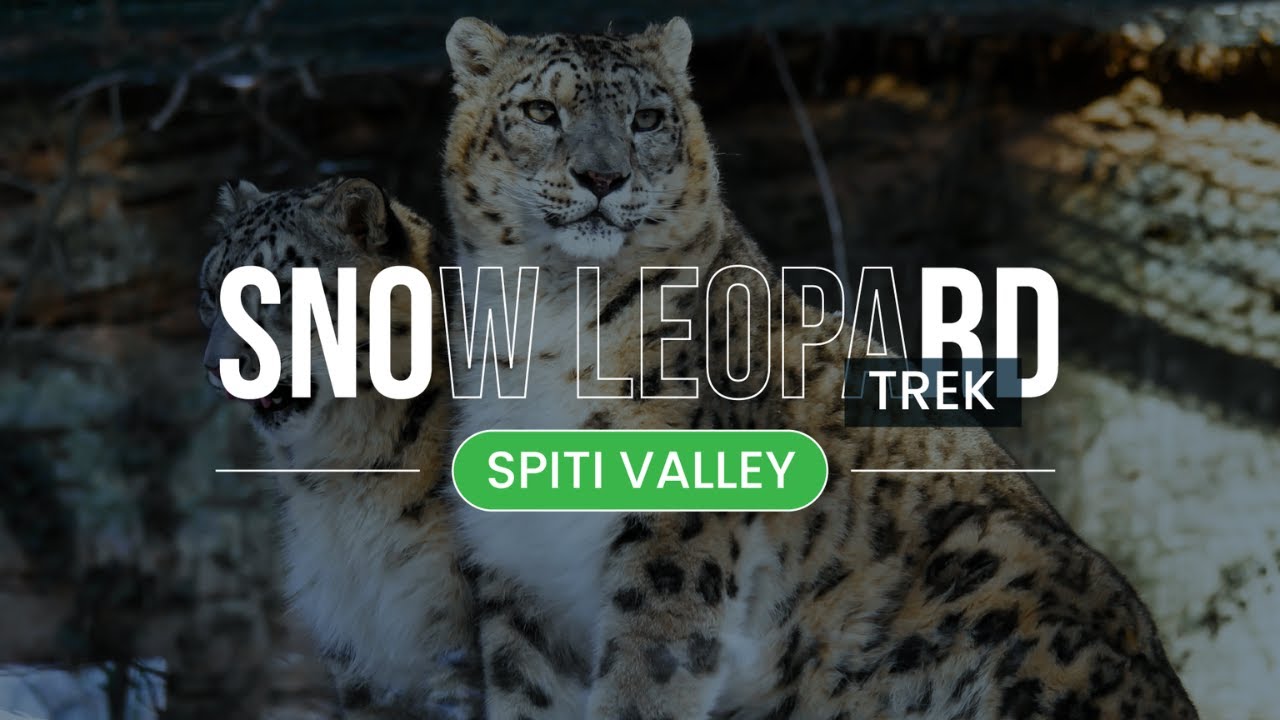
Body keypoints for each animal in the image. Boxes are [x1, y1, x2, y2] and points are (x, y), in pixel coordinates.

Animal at [199, 177, 482, 719]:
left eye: (282, 287)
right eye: (209, 292)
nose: (214, 365)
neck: (340, 484)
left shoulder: (455, 640)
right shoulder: (354, 650)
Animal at [440, 15, 1199, 720]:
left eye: (647, 119)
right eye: (543, 110)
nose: (602, 176)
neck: (546, 313)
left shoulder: (671, 541)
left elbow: (646, 681)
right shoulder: (519, 573)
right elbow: (525, 691)